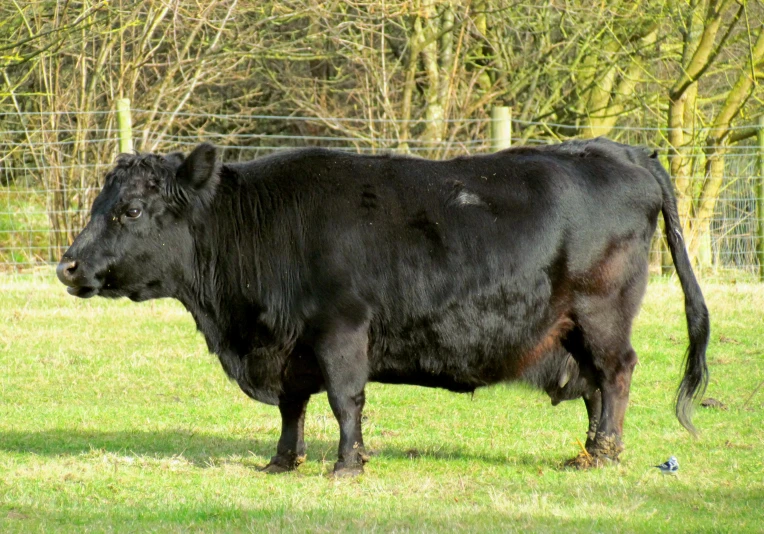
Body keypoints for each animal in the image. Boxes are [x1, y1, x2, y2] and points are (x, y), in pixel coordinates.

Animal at [58, 139, 712, 478]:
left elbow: (345, 400)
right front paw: (281, 462)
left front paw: (346, 465)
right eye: (98, 204)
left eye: (131, 211)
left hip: (603, 315)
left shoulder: (341, 328)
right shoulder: (287, 347)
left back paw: (603, 454)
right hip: (572, 327)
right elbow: (293, 408)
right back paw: (588, 451)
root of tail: (622, 149)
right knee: (596, 385)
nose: (66, 266)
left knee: (617, 373)